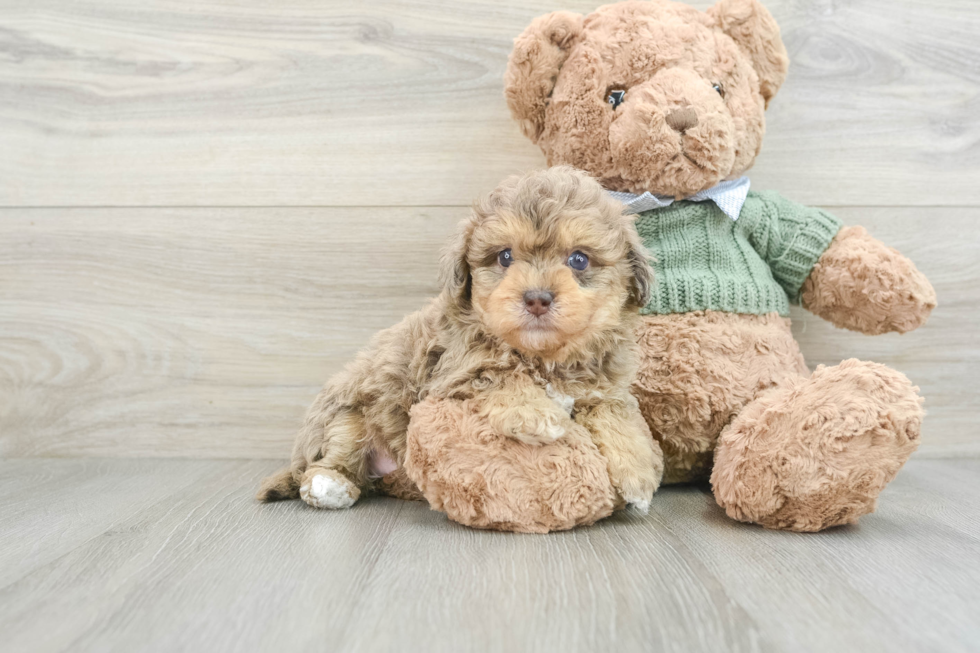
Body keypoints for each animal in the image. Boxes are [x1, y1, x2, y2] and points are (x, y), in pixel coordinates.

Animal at [256, 166, 664, 512]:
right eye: (504, 257)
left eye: (579, 260)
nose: (537, 298)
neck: (541, 355)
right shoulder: (452, 373)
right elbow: (501, 376)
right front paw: (535, 415)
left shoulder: (604, 387)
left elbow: (617, 415)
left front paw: (638, 476)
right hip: (346, 413)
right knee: (336, 455)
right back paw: (329, 484)